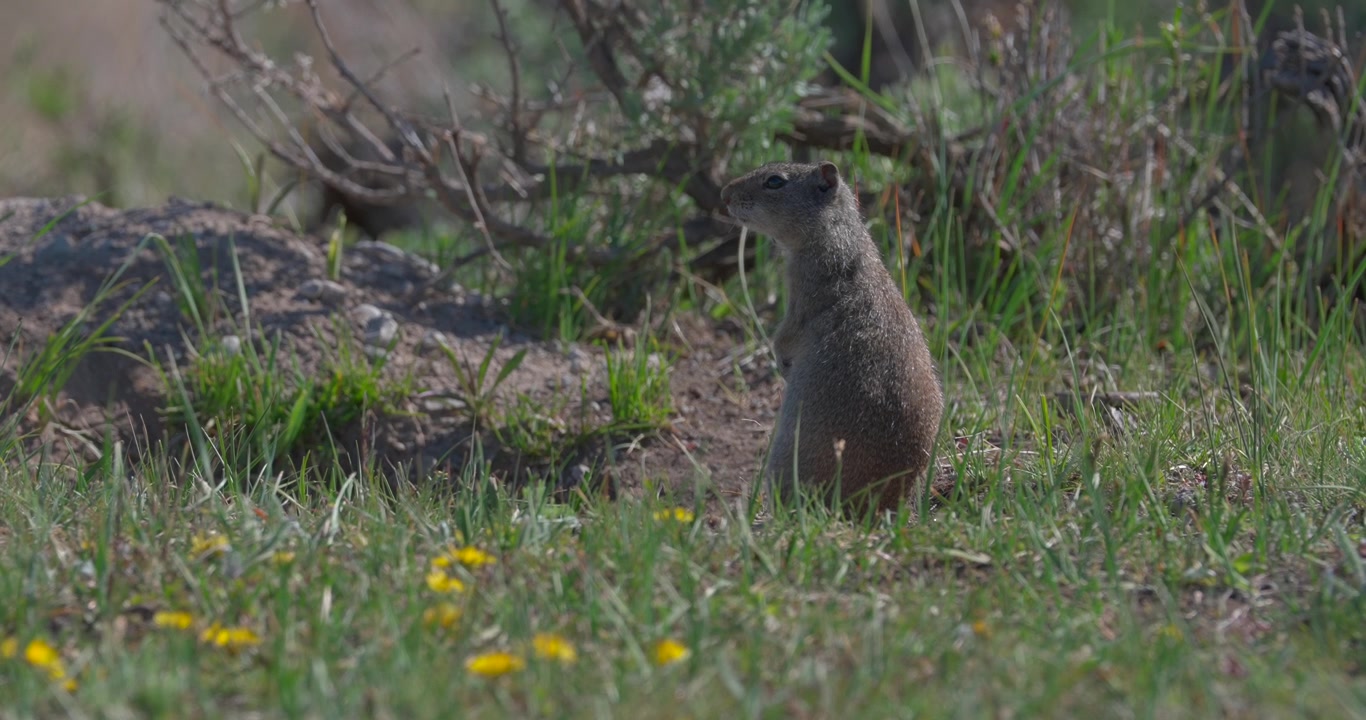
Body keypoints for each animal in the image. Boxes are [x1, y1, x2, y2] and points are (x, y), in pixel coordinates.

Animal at [719, 160, 944, 518]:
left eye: (774, 182)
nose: (725, 194)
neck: (837, 234)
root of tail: (878, 505)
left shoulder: (801, 297)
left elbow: (785, 335)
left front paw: (781, 362)